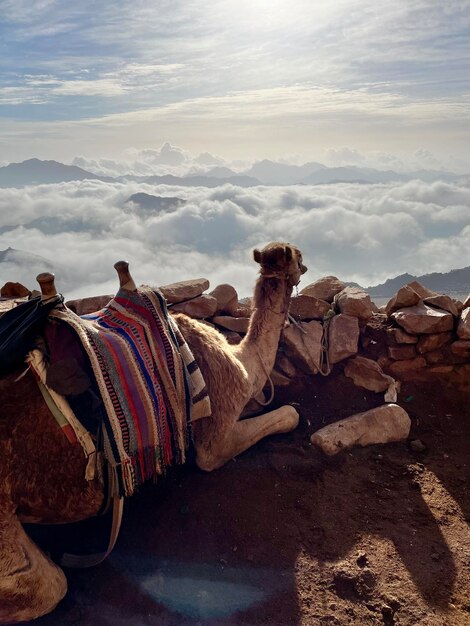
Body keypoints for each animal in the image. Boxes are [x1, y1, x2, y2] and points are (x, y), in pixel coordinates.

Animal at [0, 239, 306, 620]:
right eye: (298, 256)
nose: (304, 269)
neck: (242, 363)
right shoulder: (216, 430)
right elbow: (278, 420)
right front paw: (291, 410)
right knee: (50, 586)